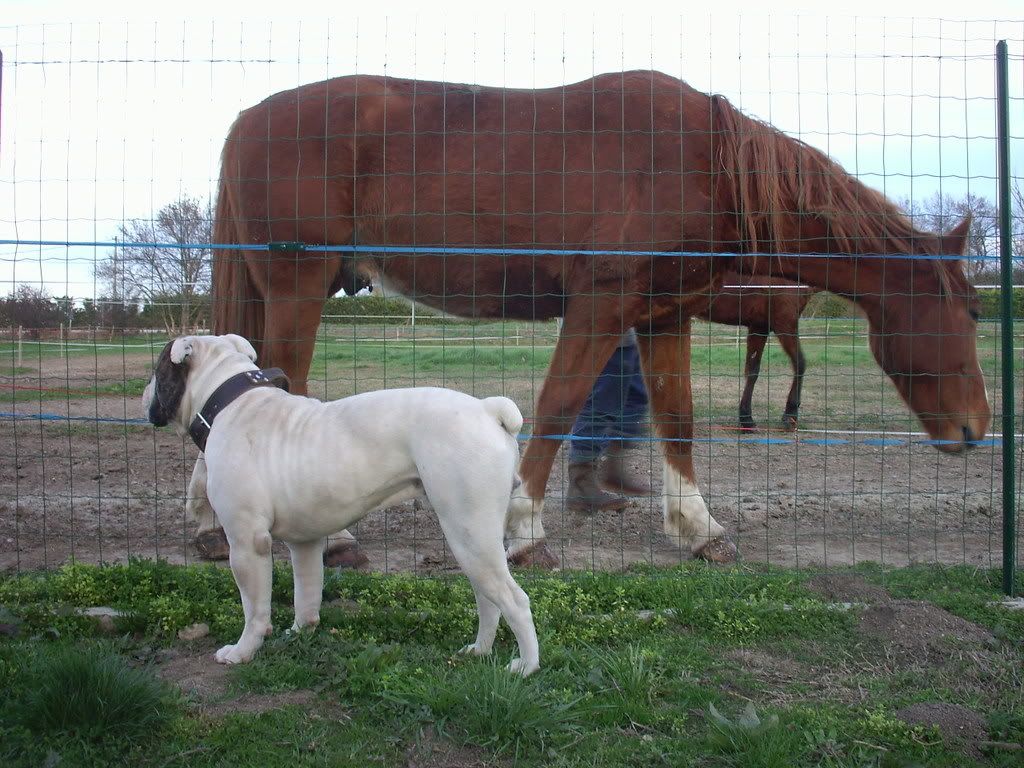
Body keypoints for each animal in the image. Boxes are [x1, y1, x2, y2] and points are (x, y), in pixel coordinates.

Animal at [146, 333, 544, 675]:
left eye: (158, 369)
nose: (147, 390)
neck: (230, 401)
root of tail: (487, 410)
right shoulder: (304, 544)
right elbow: (306, 593)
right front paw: (300, 632)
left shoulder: (246, 544)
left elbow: (255, 608)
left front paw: (243, 651)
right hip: (472, 541)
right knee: (488, 599)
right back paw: (479, 650)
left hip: (470, 533)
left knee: (515, 600)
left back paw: (526, 667)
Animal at [700, 274, 819, 434]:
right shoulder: (785, 321)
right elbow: (800, 363)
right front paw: (790, 416)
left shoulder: (759, 327)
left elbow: (752, 371)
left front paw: (746, 420)